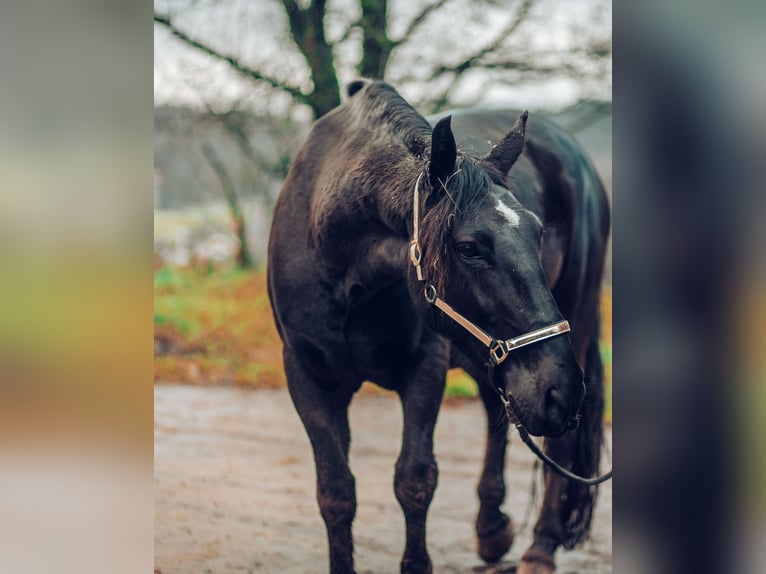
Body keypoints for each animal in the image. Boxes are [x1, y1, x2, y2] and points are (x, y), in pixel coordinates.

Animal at [270, 82, 612, 574]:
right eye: (468, 247)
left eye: (538, 232)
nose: (560, 390)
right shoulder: (308, 376)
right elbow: (335, 492)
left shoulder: (424, 367)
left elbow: (415, 480)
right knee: (498, 414)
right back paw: (492, 529)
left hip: (573, 326)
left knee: (556, 448)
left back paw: (539, 549)